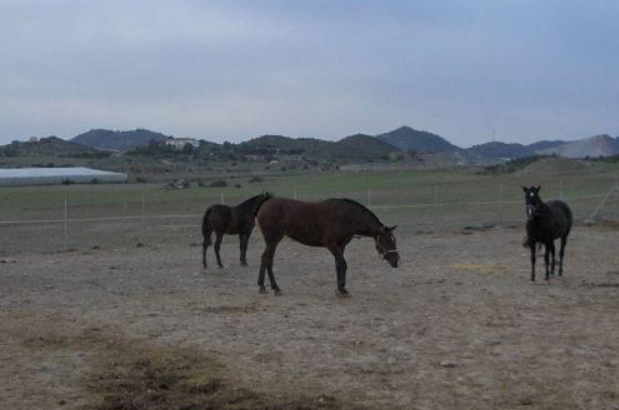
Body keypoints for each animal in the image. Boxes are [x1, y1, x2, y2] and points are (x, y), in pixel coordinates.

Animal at [254, 196, 400, 296]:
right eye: (387, 241)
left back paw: (267, 287)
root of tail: (265, 203)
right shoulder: (331, 245)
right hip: (273, 240)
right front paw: (341, 289)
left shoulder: (341, 246)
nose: (396, 261)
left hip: (273, 241)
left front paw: (340, 288)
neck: (345, 218)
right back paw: (271, 287)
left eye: (394, 240)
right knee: (266, 258)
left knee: (266, 259)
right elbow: (343, 263)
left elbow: (339, 265)